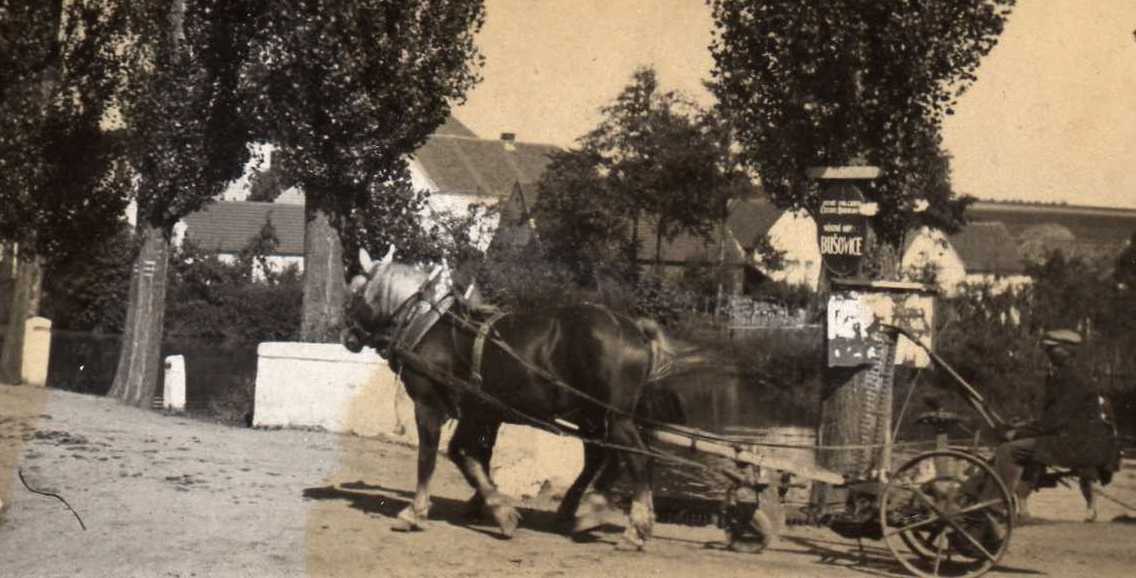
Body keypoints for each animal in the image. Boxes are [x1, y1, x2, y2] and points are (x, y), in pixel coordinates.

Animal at [341, 247, 674, 549]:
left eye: (355, 292)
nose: (348, 336)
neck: (430, 327)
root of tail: (636, 329)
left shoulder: (431, 407)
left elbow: (433, 457)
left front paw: (416, 512)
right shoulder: (482, 412)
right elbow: (472, 456)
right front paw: (490, 505)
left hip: (614, 416)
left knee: (636, 456)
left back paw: (634, 528)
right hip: (591, 415)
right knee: (601, 455)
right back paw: (582, 509)